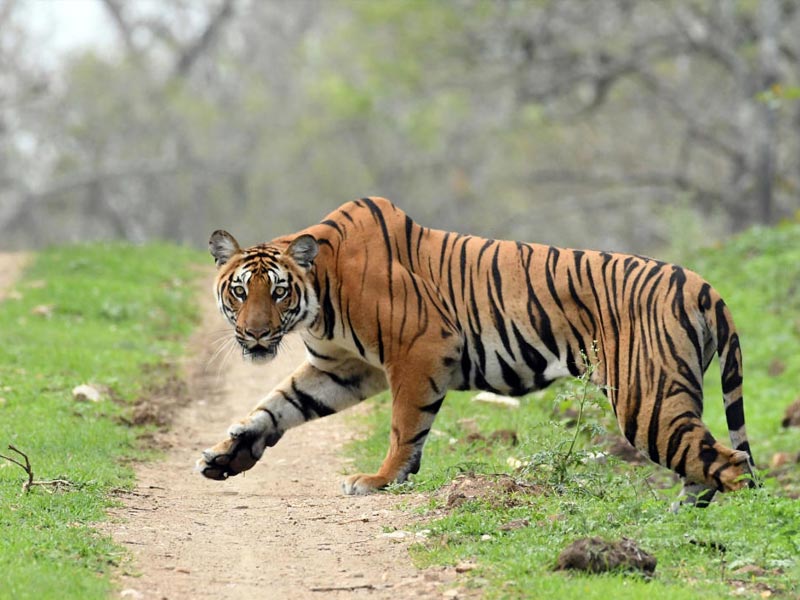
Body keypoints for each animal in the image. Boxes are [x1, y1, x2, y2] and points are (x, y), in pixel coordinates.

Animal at [196, 197, 756, 506]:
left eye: (278, 292)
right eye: (240, 292)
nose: (255, 335)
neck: (318, 295)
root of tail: (703, 285)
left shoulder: (419, 347)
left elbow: (404, 425)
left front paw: (380, 480)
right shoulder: (343, 368)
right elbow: (276, 406)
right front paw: (226, 456)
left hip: (647, 398)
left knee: (731, 464)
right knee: (705, 468)